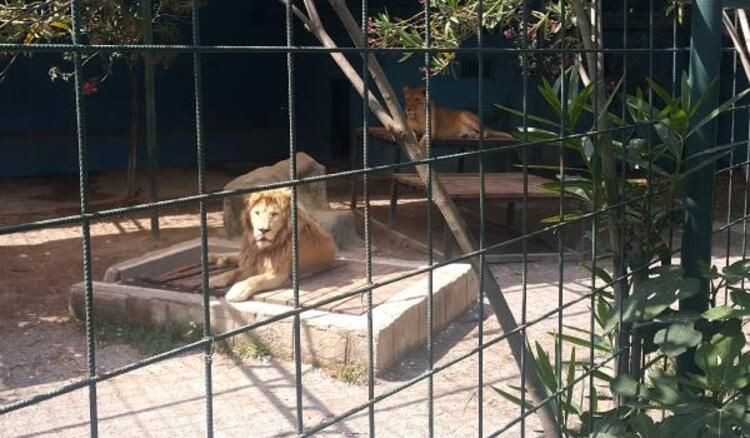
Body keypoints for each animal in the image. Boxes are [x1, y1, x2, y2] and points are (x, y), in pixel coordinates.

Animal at [206, 186, 334, 302]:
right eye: (257, 213)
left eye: (274, 214)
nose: (263, 230)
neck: (264, 249)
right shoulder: (253, 263)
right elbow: (233, 272)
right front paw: (216, 279)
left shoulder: (278, 274)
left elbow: (255, 279)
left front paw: (237, 290)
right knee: (236, 256)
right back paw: (214, 258)